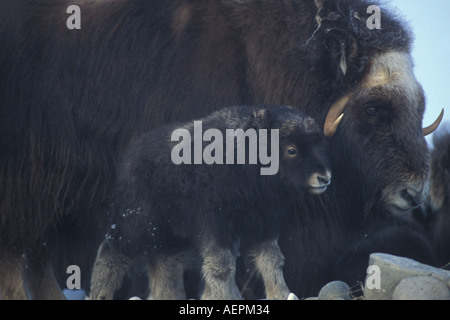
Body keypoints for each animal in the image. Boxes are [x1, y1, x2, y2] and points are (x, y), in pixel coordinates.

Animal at [89, 105, 336, 300]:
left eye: (319, 147)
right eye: (291, 149)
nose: (324, 178)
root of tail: (130, 158)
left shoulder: (263, 225)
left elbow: (272, 261)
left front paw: (282, 295)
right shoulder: (217, 225)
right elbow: (221, 267)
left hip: (173, 239)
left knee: (165, 267)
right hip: (136, 224)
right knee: (111, 255)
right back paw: (99, 295)